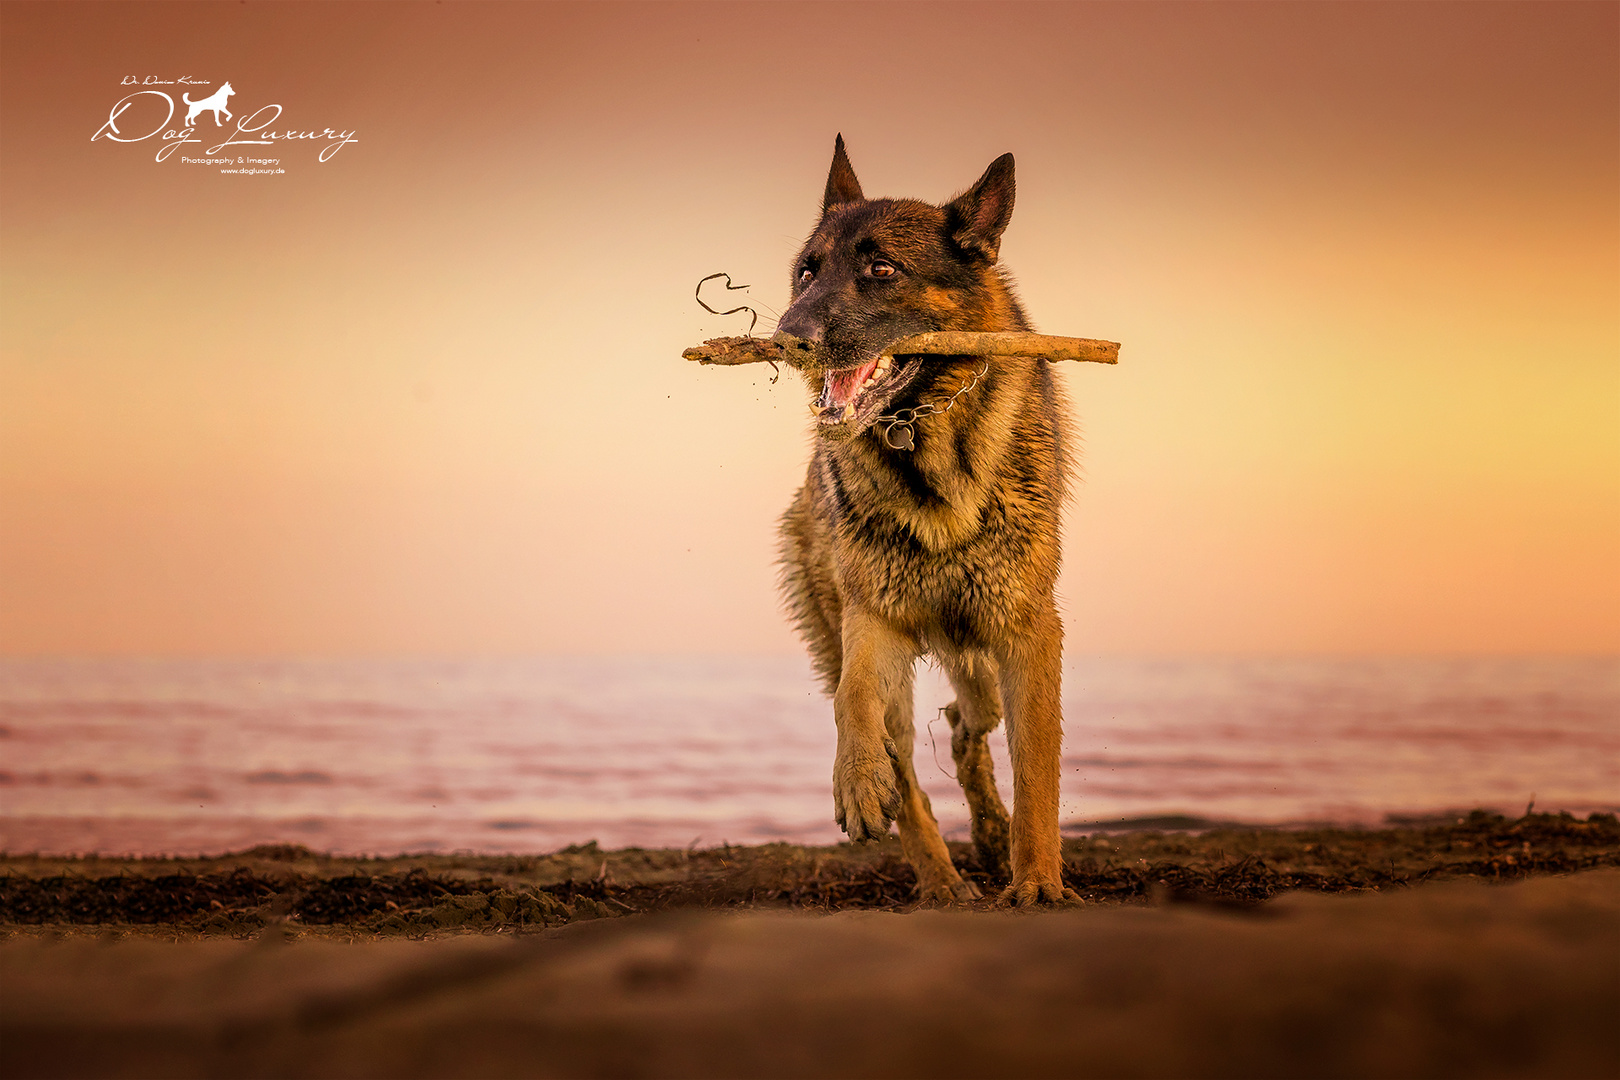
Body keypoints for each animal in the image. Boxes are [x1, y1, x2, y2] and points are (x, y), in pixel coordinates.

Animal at [777, 139, 1082, 906]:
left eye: (882, 269)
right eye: (807, 272)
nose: (788, 337)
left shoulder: (1030, 634)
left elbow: (1038, 767)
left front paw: (1037, 880)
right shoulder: (873, 618)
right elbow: (853, 698)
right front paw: (857, 779)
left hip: (984, 664)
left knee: (969, 725)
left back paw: (993, 838)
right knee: (910, 766)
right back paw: (940, 879)